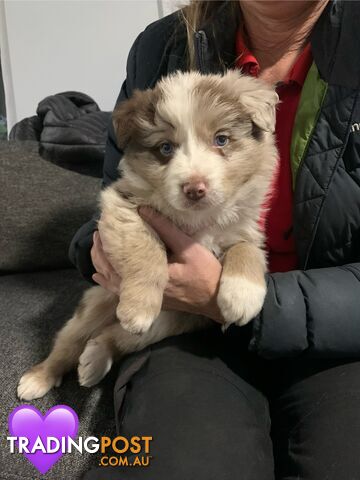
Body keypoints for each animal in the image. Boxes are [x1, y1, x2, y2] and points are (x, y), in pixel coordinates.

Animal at [16, 70, 278, 402]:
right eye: (165, 148)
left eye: (221, 139)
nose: (195, 189)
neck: (197, 220)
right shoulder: (123, 207)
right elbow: (146, 250)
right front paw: (138, 307)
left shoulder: (245, 228)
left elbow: (247, 250)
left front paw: (242, 297)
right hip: (96, 303)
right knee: (69, 341)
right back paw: (40, 377)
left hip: (169, 322)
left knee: (113, 337)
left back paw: (95, 359)